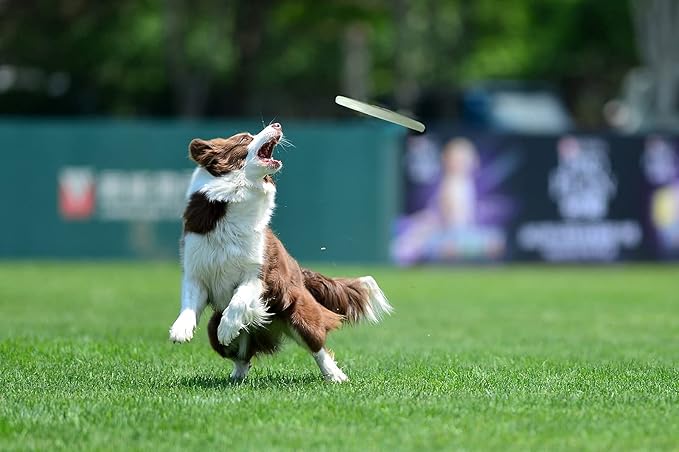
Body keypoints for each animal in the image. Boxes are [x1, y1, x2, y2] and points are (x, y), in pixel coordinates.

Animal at [169, 122, 394, 382]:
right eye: (245, 138)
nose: (276, 124)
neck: (235, 200)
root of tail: (301, 273)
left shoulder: (260, 273)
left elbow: (239, 299)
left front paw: (228, 327)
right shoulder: (197, 269)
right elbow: (189, 300)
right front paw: (181, 329)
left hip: (300, 313)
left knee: (318, 347)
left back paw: (335, 375)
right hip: (214, 328)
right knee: (242, 356)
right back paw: (236, 376)